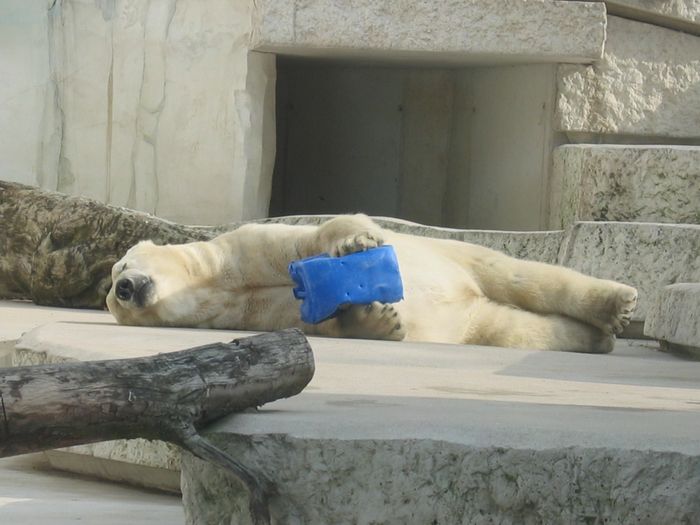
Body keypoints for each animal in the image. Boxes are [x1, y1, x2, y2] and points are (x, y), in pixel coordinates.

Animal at [106, 213, 636, 352]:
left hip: (458, 256)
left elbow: (312, 237)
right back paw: (596, 337)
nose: (127, 288)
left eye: (121, 266)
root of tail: (465, 295)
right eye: (115, 298)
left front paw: (356, 242)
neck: (218, 282)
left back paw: (618, 303)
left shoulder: (243, 247)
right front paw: (381, 321)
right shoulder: (246, 313)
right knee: (516, 328)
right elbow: (312, 321)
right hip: (474, 319)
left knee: (524, 277)